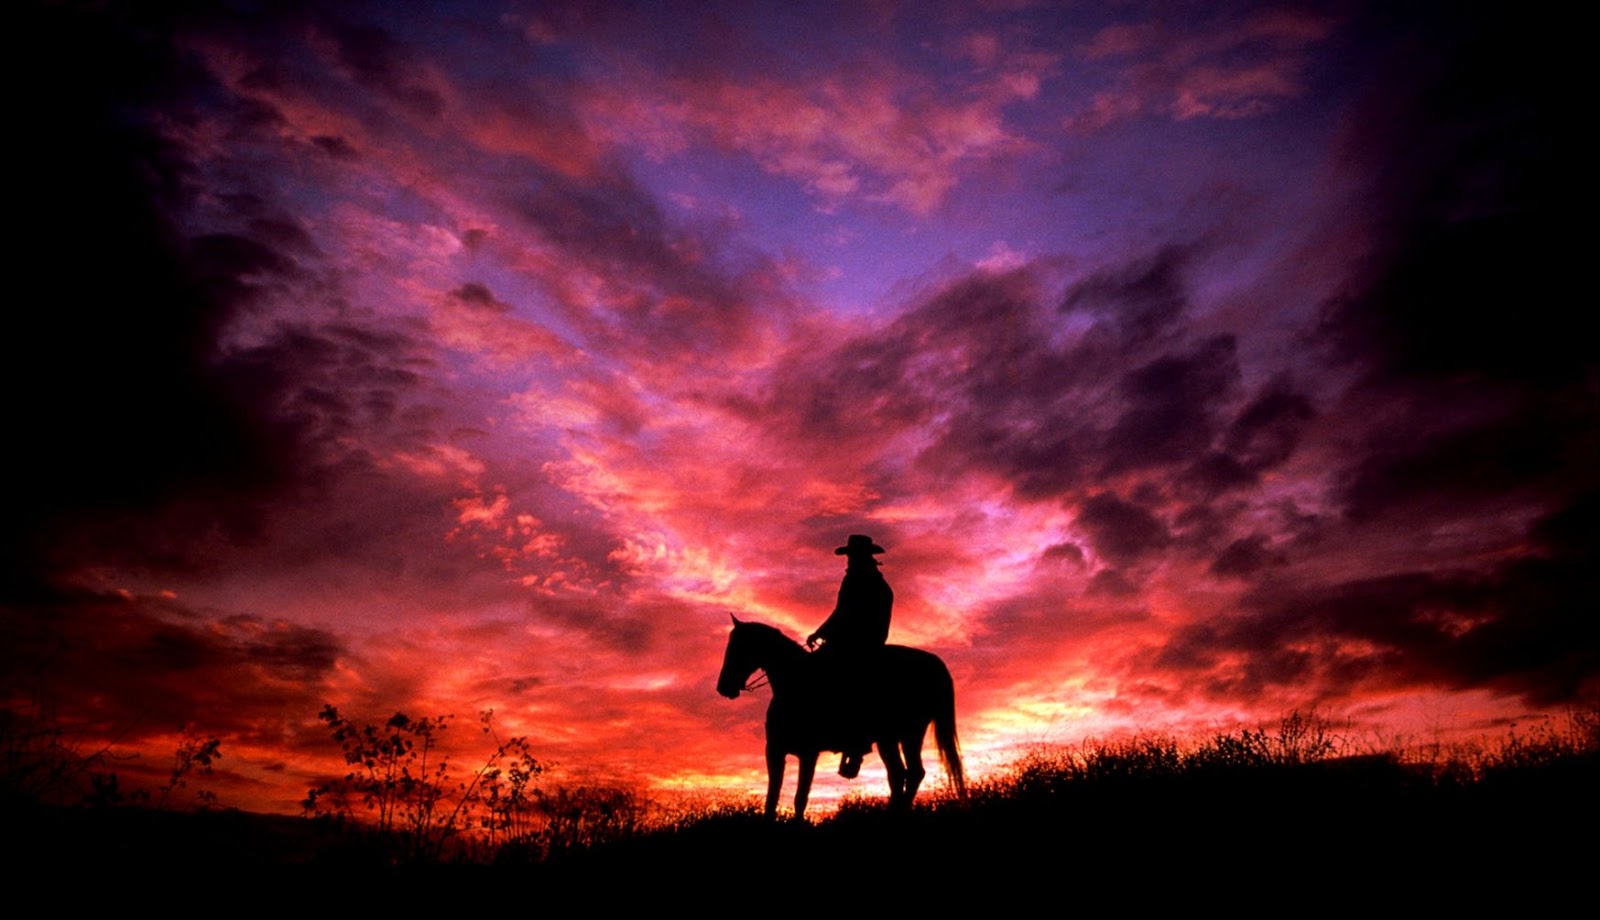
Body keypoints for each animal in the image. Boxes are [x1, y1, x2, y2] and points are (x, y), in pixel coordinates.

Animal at [716, 616, 966, 820]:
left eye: (739, 648)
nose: (723, 687)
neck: (794, 685)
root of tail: (936, 665)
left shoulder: (808, 753)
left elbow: (800, 798)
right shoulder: (775, 750)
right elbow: (772, 797)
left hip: (909, 733)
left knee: (910, 774)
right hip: (891, 739)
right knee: (899, 775)